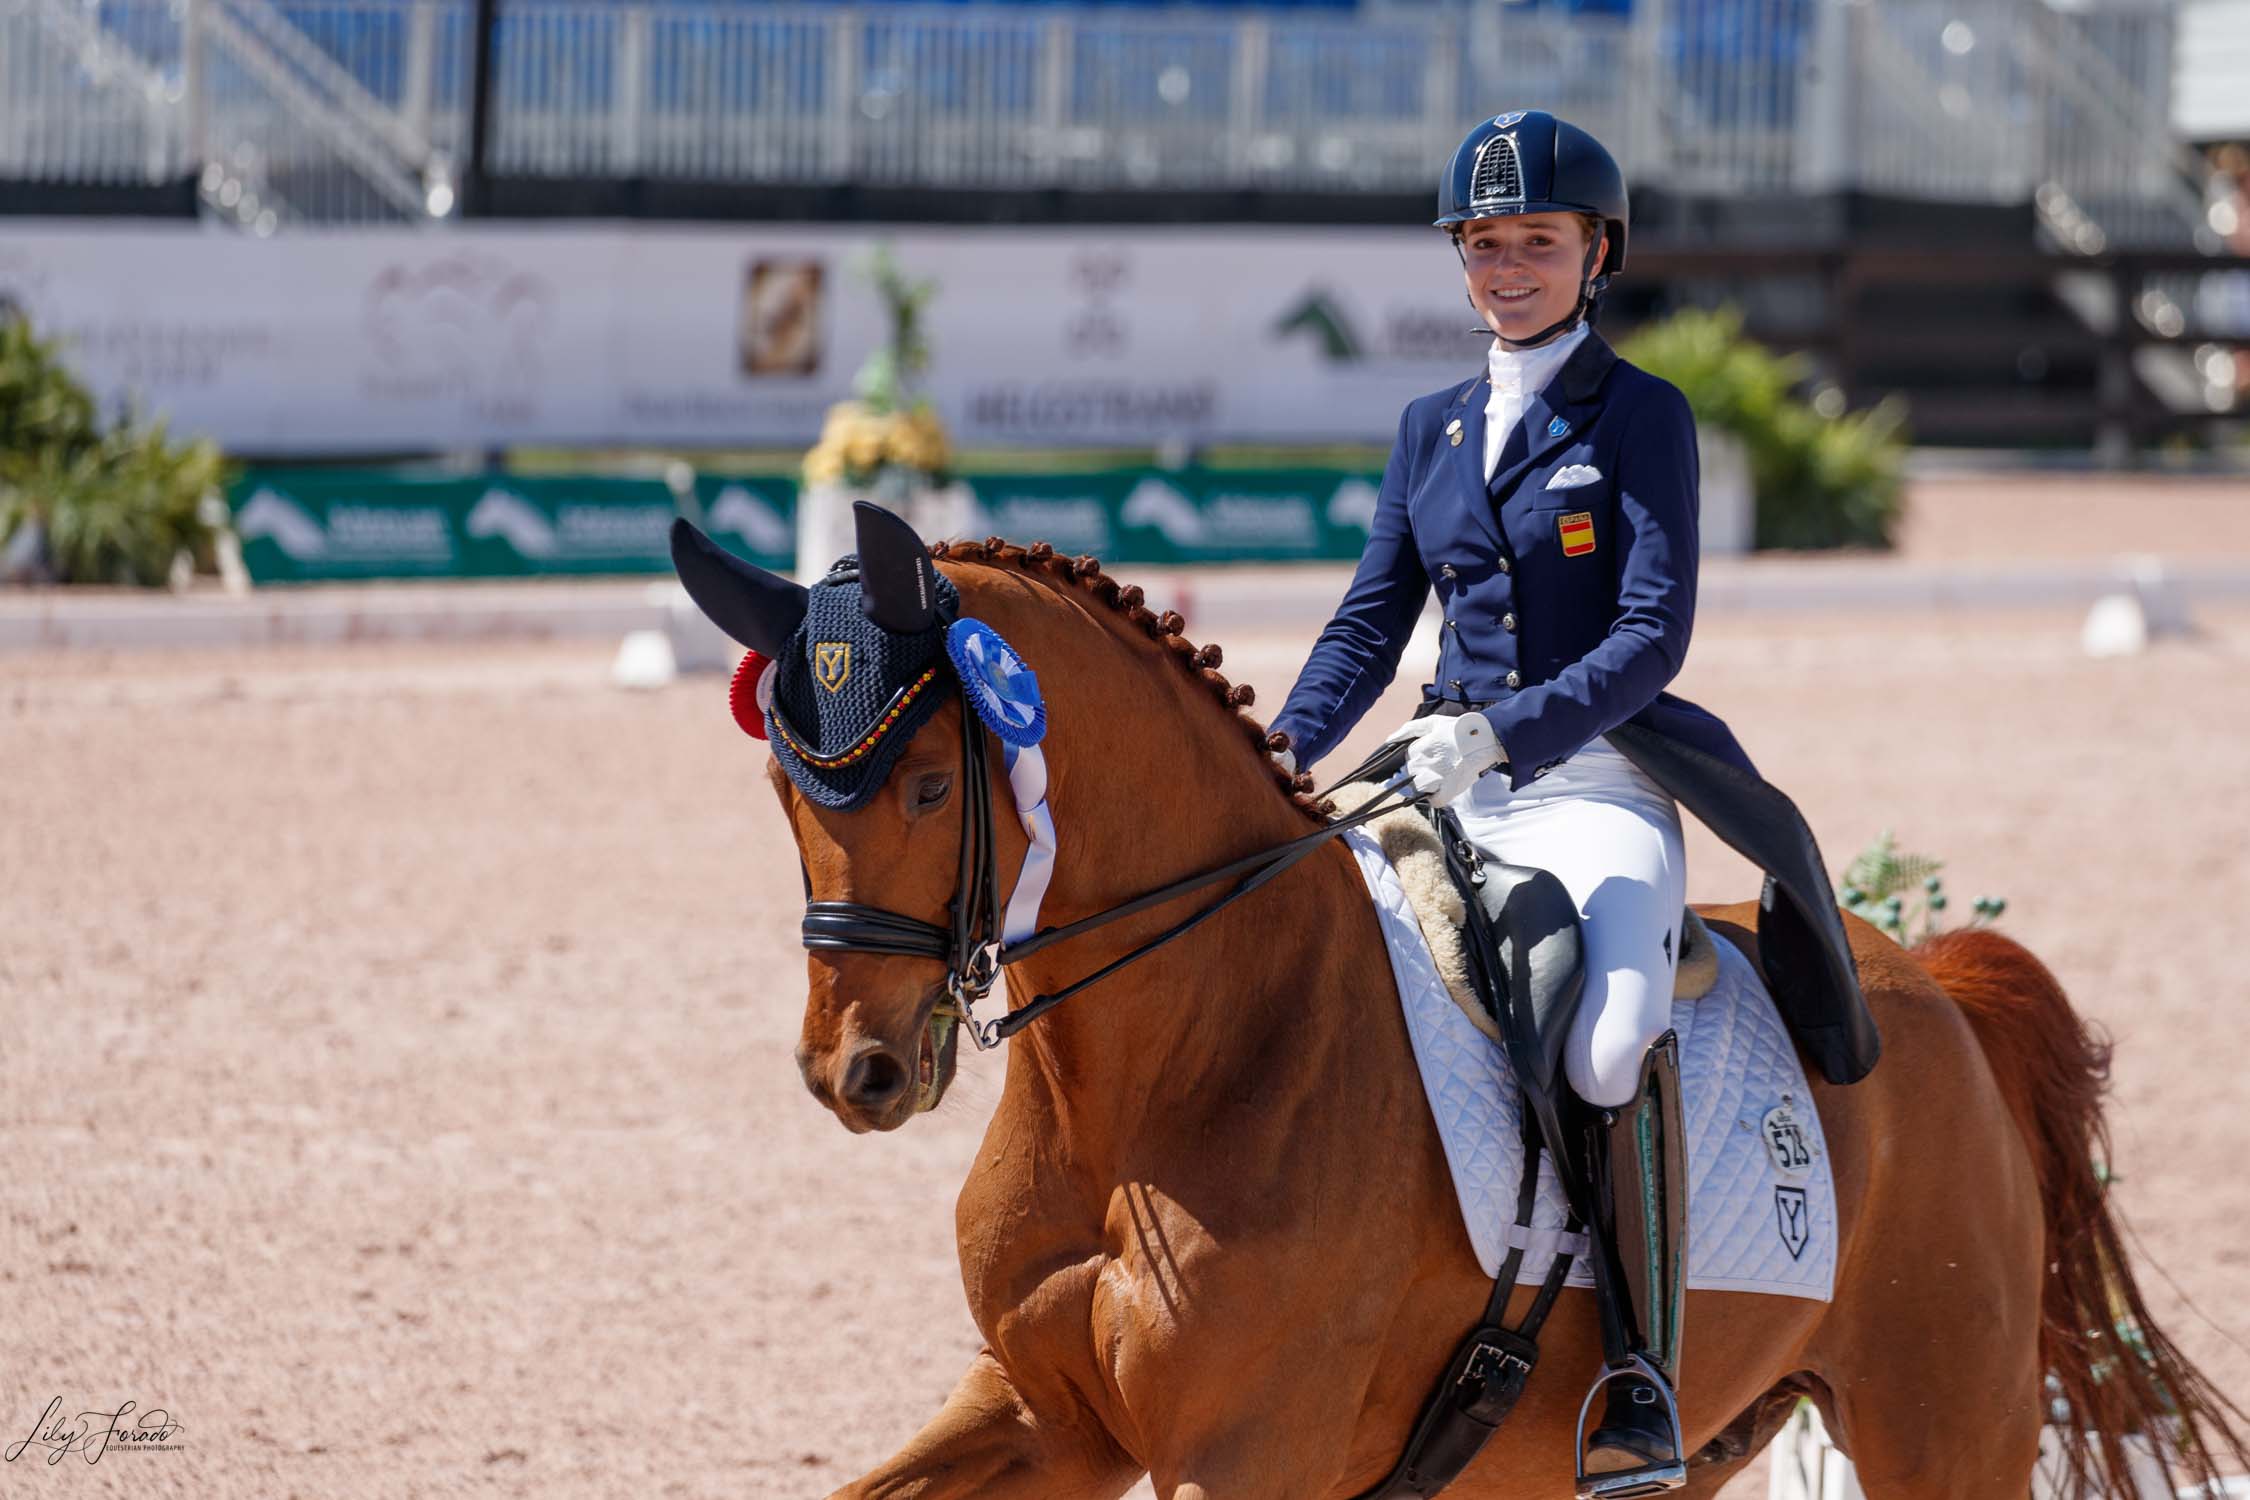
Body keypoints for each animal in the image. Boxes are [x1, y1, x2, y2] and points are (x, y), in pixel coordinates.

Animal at [769, 541, 2232, 1500]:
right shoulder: (1043, 1417)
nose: (856, 1070)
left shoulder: (1241, 1457)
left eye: (921, 787)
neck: (1165, 1078)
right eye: (788, 791)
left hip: (1945, 1418)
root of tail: (1930, 984)